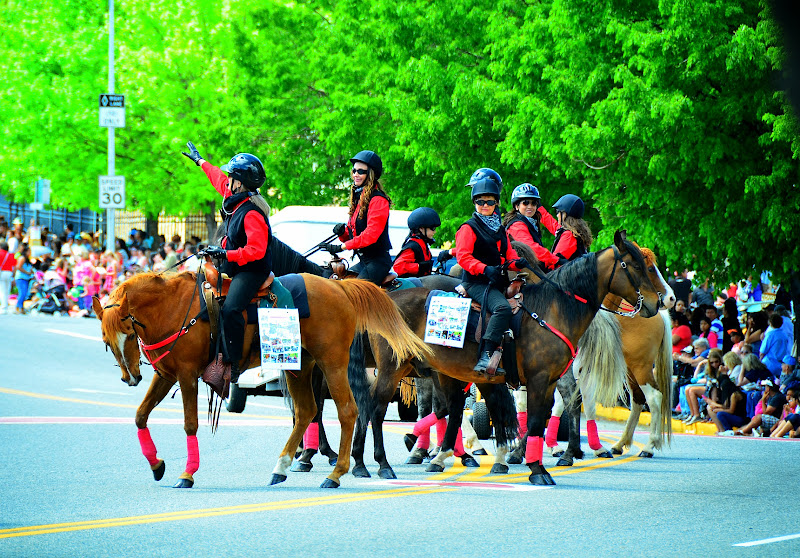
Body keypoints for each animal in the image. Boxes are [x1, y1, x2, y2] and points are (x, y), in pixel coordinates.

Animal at [92, 272, 432, 490]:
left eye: (128, 333)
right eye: (107, 341)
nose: (131, 378)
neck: (176, 309)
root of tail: (341, 287)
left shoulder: (187, 376)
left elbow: (189, 424)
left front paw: (186, 474)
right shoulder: (165, 376)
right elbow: (140, 416)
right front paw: (156, 465)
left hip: (333, 363)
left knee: (348, 411)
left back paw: (336, 474)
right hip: (299, 367)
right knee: (307, 412)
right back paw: (281, 468)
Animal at [366, 231, 660, 486]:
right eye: (636, 266)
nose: (656, 303)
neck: (552, 310)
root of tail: (388, 299)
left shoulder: (547, 381)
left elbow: (535, 422)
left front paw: (530, 464)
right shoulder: (537, 380)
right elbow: (530, 421)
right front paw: (536, 470)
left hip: (441, 371)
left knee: (450, 408)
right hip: (395, 369)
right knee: (378, 409)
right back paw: (384, 464)